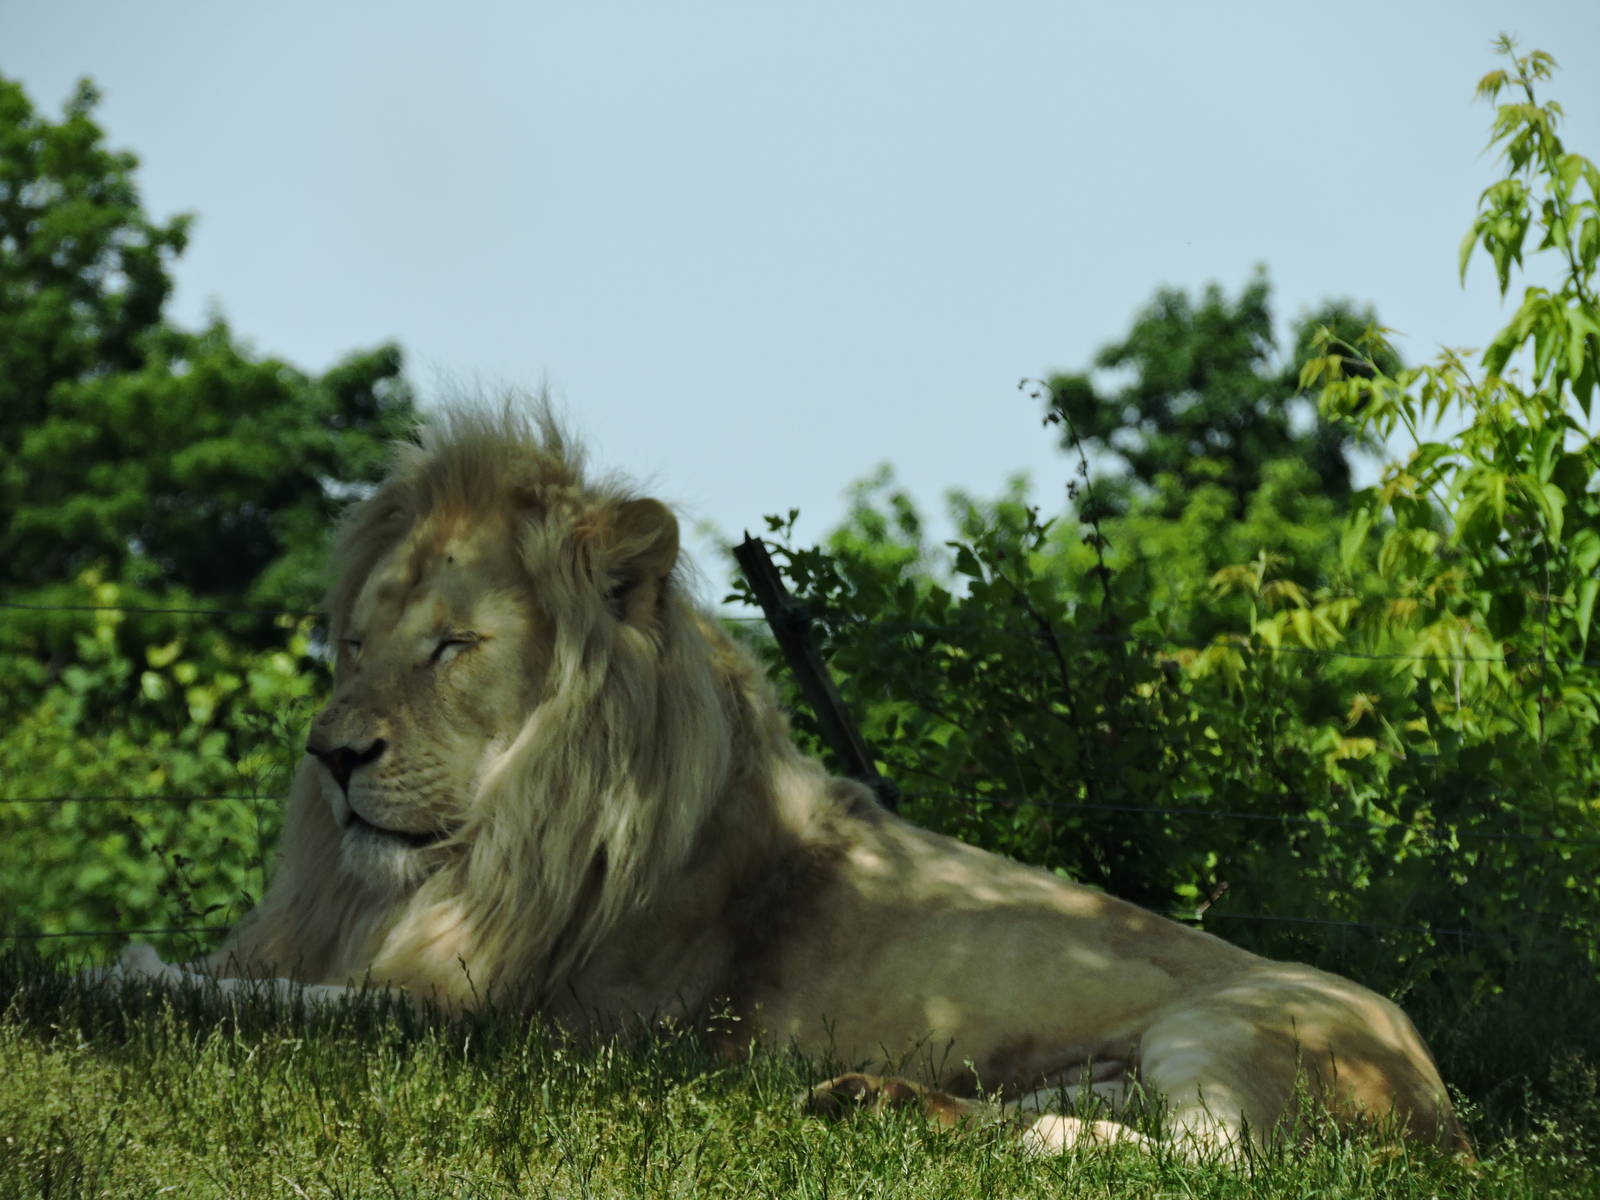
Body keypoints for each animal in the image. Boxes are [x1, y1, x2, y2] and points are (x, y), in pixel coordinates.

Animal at [111, 404, 1467, 1160]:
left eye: (452, 647)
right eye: (351, 645)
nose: (332, 755)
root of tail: (1443, 1116)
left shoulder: (509, 1023)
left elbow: (264, 1004)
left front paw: (117, 973)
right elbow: (261, 986)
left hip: (1228, 1030)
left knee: (1223, 1163)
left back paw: (1020, 1138)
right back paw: (881, 1105)